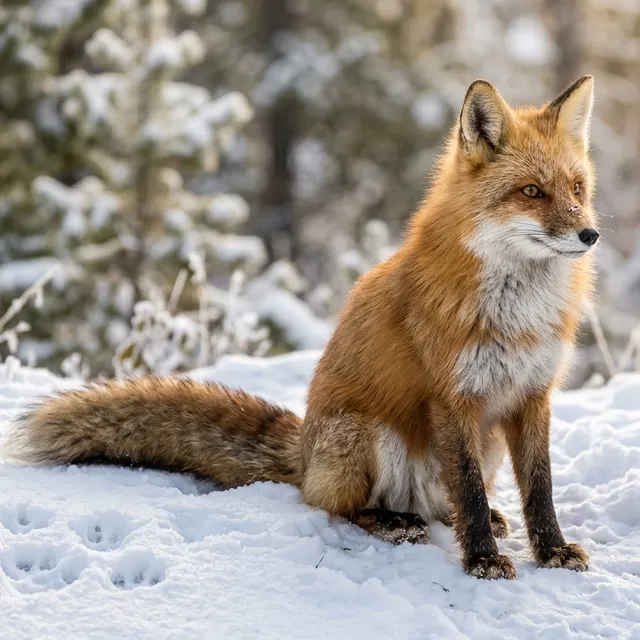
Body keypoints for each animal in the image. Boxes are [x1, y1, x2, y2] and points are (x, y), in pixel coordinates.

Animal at [6, 76, 599, 580]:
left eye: (576, 188)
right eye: (531, 192)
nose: (591, 234)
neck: (518, 315)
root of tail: (305, 452)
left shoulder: (533, 394)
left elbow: (539, 488)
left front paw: (550, 550)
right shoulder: (452, 398)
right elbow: (470, 493)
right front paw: (482, 560)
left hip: (483, 441)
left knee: (438, 505)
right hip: (364, 434)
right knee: (338, 505)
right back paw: (393, 522)